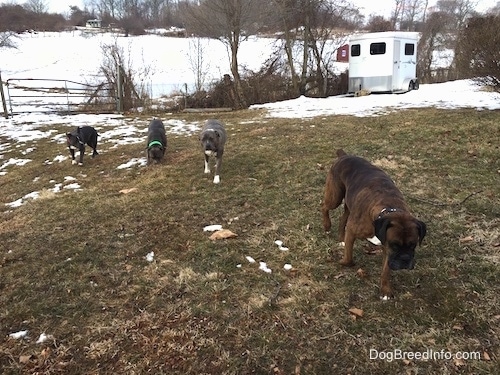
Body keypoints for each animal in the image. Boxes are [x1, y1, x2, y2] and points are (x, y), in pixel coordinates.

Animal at [320, 149, 426, 300]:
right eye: (395, 245)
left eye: (413, 245)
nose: (405, 259)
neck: (388, 208)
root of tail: (344, 155)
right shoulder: (352, 232)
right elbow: (349, 258)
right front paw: (343, 263)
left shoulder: (387, 249)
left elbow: (386, 271)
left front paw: (385, 290)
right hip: (335, 196)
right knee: (324, 206)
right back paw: (327, 225)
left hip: (349, 205)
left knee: (343, 218)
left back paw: (340, 239)